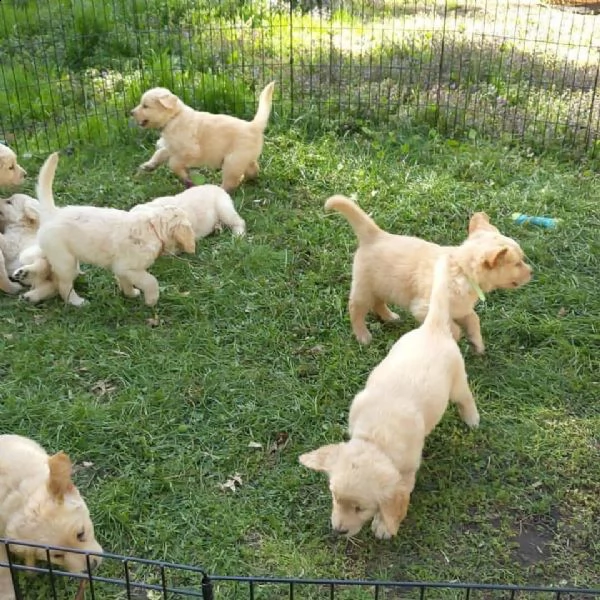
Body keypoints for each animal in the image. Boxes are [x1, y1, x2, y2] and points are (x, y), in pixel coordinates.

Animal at [24, 152, 195, 308]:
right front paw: (151, 300)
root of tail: (54, 213)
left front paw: (130, 293)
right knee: (64, 285)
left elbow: (125, 282)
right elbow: (150, 281)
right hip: (65, 261)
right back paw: (77, 302)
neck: (153, 229)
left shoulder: (120, 269)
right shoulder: (130, 267)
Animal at [131, 81, 276, 191]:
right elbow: (159, 154)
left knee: (230, 182)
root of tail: (253, 126)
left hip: (232, 161)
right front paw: (149, 165)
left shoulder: (190, 150)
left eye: (145, 106)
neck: (174, 117)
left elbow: (173, 163)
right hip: (243, 159)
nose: (131, 112)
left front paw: (185, 176)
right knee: (252, 169)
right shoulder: (171, 146)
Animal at [300, 255, 482, 540]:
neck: (375, 438)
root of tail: (432, 327)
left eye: (360, 508)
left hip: (456, 382)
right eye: (334, 497)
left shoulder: (407, 470)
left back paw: (472, 419)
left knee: (465, 398)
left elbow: (400, 495)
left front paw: (385, 525)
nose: (338, 531)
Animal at [326, 195, 532, 352]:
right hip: (364, 287)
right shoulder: (423, 308)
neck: (462, 270)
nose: (532, 272)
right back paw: (363, 336)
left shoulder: (462, 308)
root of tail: (375, 235)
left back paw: (390, 317)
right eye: (517, 263)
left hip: (382, 285)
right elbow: (452, 327)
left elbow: (474, 319)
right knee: (356, 308)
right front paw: (456, 337)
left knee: (378, 303)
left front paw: (477, 343)